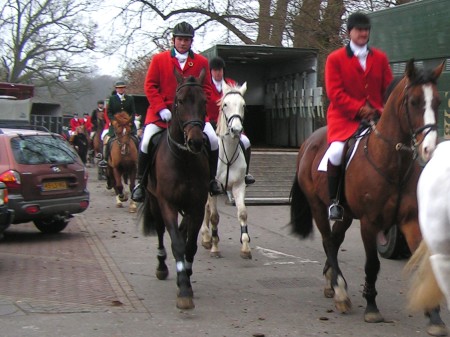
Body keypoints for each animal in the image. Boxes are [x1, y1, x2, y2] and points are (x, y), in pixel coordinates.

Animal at [141, 69, 209, 308]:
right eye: (179, 101)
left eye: (204, 101)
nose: (196, 142)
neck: (184, 159)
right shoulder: (167, 203)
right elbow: (177, 244)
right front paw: (184, 290)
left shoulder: (197, 206)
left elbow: (190, 246)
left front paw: (186, 276)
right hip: (154, 202)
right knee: (161, 231)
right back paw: (161, 266)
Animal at [201, 81, 253, 258]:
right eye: (225, 104)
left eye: (243, 105)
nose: (236, 130)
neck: (228, 153)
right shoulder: (212, 189)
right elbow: (215, 217)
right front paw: (215, 247)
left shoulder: (238, 186)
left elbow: (243, 213)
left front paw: (245, 247)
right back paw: (206, 237)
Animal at [290, 59, 444, 334]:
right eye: (414, 101)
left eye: (437, 101)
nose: (429, 149)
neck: (393, 161)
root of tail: (309, 141)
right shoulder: (370, 223)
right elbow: (372, 264)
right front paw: (371, 307)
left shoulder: (410, 221)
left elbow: (422, 265)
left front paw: (434, 315)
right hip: (318, 206)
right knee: (328, 241)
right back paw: (341, 292)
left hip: (346, 214)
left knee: (335, 240)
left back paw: (332, 283)